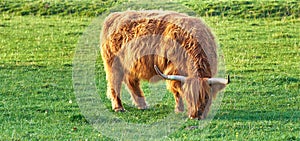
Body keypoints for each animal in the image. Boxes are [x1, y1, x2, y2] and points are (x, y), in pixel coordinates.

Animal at [99, 10, 229, 119]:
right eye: (189, 97)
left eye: (206, 97)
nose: (195, 116)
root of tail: (114, 16)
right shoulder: (173, 70)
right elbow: (176, 90)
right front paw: (179, 109)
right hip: (113, 65)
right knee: (114, 84)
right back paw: (119, 108)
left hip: (130, 65)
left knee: (131, 82)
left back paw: (142, 105)